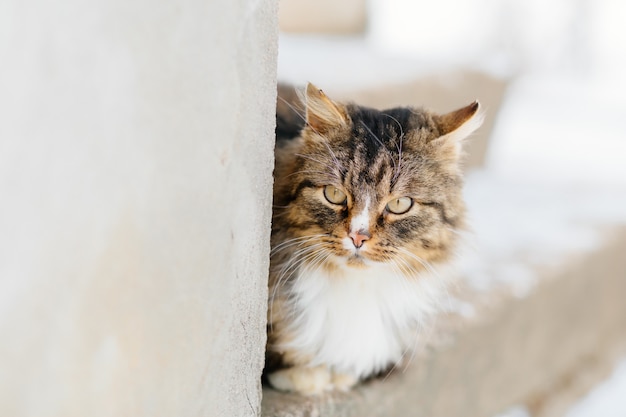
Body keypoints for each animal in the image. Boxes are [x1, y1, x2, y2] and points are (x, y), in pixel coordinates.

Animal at [266, 82, 480, 394]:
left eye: (400, 204)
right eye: (334, 194)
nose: (357, 237)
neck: (356, 289)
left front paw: (341, 373)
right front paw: (306, 374)